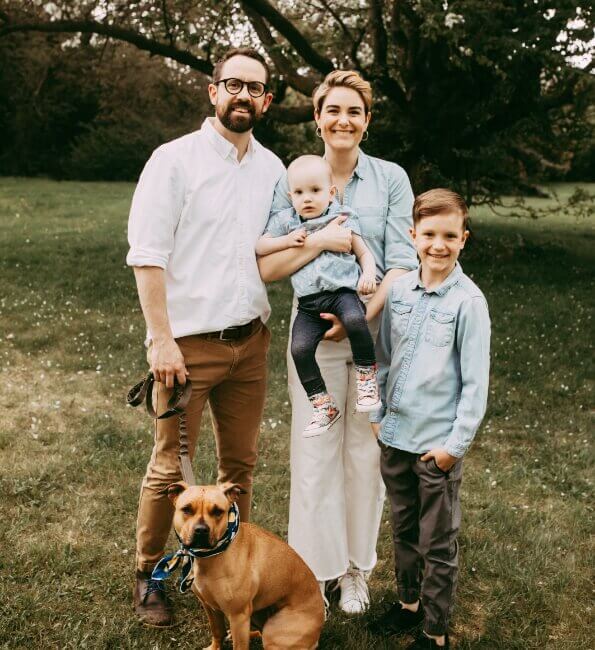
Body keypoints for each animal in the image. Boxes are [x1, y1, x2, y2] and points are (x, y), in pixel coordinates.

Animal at [168, 478, 326, 644]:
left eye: (218, 511)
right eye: (186, 509)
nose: (201, 530)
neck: (210, 555)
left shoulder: (238, 616)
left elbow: (239, 645)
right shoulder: (209, 606)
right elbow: (217, 631)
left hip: (273, 631)